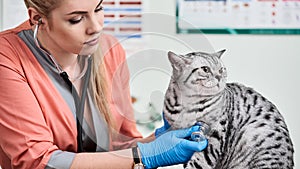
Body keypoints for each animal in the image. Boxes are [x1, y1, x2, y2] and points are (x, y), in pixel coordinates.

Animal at [163, 49, 294, 168]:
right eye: (205, 69)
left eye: (221, 69)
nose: (219, 76)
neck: (189, 104)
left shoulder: (215, 133)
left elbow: (200, 161)